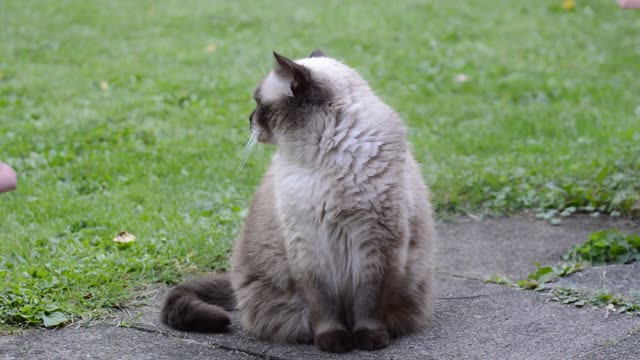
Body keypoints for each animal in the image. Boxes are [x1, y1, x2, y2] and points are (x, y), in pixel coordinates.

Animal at [162, 49, 438, 352]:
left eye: (258, 103)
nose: (248, 119)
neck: (325, 157)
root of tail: (234, 281)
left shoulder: (375, 243)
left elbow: (370, 301)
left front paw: (369, 340)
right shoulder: (309, 246)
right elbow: (323, 306)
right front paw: (334, 342)